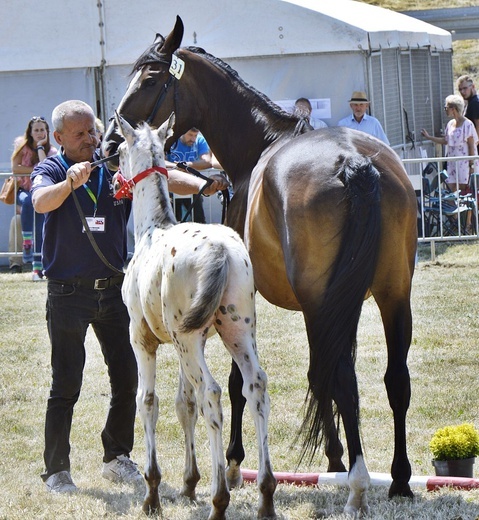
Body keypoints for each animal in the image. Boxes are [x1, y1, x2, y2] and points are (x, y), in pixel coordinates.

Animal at [103, 16, 418, 516]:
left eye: (150, 79)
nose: (110, 141)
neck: (261, 146)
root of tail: (355, 163)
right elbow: (319, 376)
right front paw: (332, 457)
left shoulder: (248, 313)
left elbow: (240, 385)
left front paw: (234, 462)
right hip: (391, 295)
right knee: (393, 381)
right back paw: (399, 479)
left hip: (323, 302)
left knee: (339, 379)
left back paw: (357, 483)